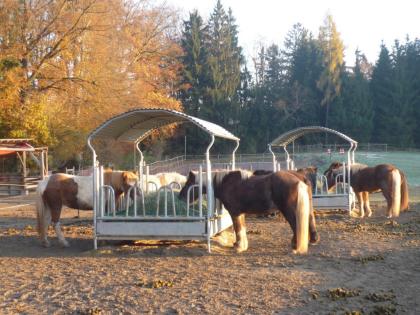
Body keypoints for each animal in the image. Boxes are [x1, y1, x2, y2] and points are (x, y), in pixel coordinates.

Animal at [180, 169, 312, 256]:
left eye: (188, 183)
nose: (180, 196)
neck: (226, 183)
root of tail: (298, 181)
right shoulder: (240, 213)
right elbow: (242, 228)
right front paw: (242, 246)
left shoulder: (234, 213)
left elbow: (238, 229)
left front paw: (238, 247)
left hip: (289, 211)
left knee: (296, 226)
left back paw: (295, 247)